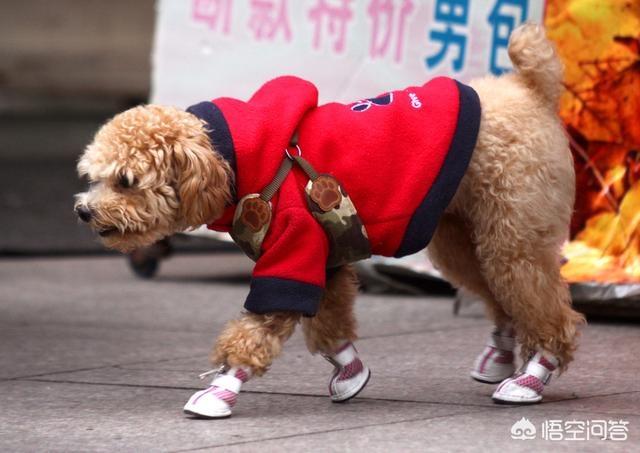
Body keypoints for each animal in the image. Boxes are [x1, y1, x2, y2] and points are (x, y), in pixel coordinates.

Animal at [76, 23, 584, 414]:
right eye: (93, 177)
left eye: (125, 180)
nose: (83, 210)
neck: (233, 161)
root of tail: (529, 89)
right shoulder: (327, 257)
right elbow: (330, 324)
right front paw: (350, 372)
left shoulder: (294, 247)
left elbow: (258, 327)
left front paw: (221, 390)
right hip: (463, 235)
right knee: (500, 294)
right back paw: (502, 353)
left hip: (515, 231)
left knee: (544, 306)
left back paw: (533, 374)